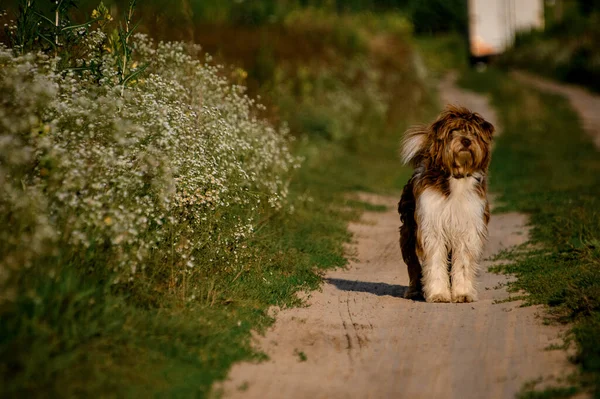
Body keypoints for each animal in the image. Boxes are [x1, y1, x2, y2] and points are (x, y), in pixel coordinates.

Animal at [396, 106, 494, 304]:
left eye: (473, 132)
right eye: (453, 131)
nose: (466, 141)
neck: (456, 178)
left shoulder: (467, 229)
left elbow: (463, 263)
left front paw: (462, 293)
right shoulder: (431, 228)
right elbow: (434, 262)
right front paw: (439, 294)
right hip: (409, 231)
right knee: (413, 264)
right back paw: (414, 290)